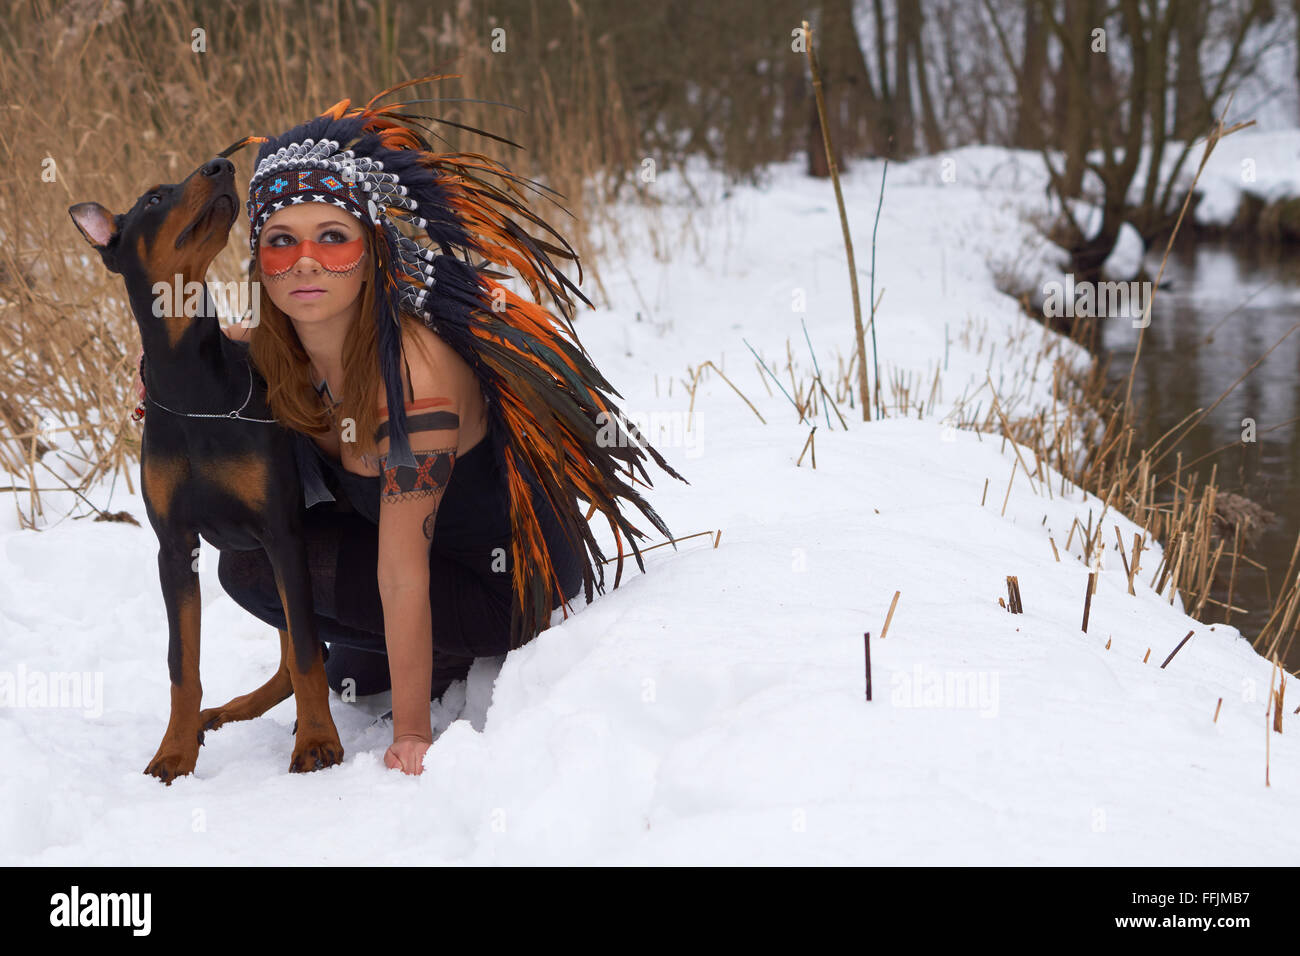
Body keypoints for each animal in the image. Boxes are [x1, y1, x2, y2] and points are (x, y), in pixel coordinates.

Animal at [69, 158, 345, 785]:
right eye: (153, 198)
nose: (220, 165)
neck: (192, 383)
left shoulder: (282, 532)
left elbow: (307, 649)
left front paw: (319, 741)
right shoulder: (175, 546)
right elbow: (181, 662)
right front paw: (174, 751)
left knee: (306, 649)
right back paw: (222, 713)